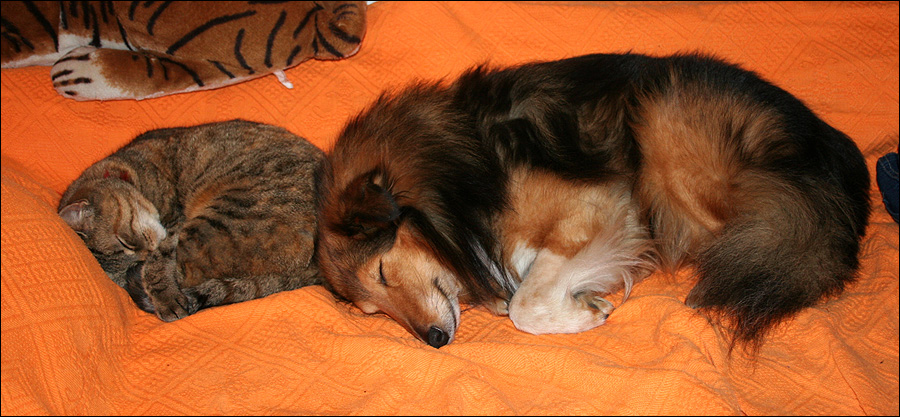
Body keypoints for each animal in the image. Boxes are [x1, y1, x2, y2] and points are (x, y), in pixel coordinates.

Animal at [58, 118, 324, 320]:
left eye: (125, 242)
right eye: (126, 259)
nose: (140, 260)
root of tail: (313, 267)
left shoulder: (173, 226)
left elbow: (159, 263)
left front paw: (165, 297)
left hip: (222, 214)